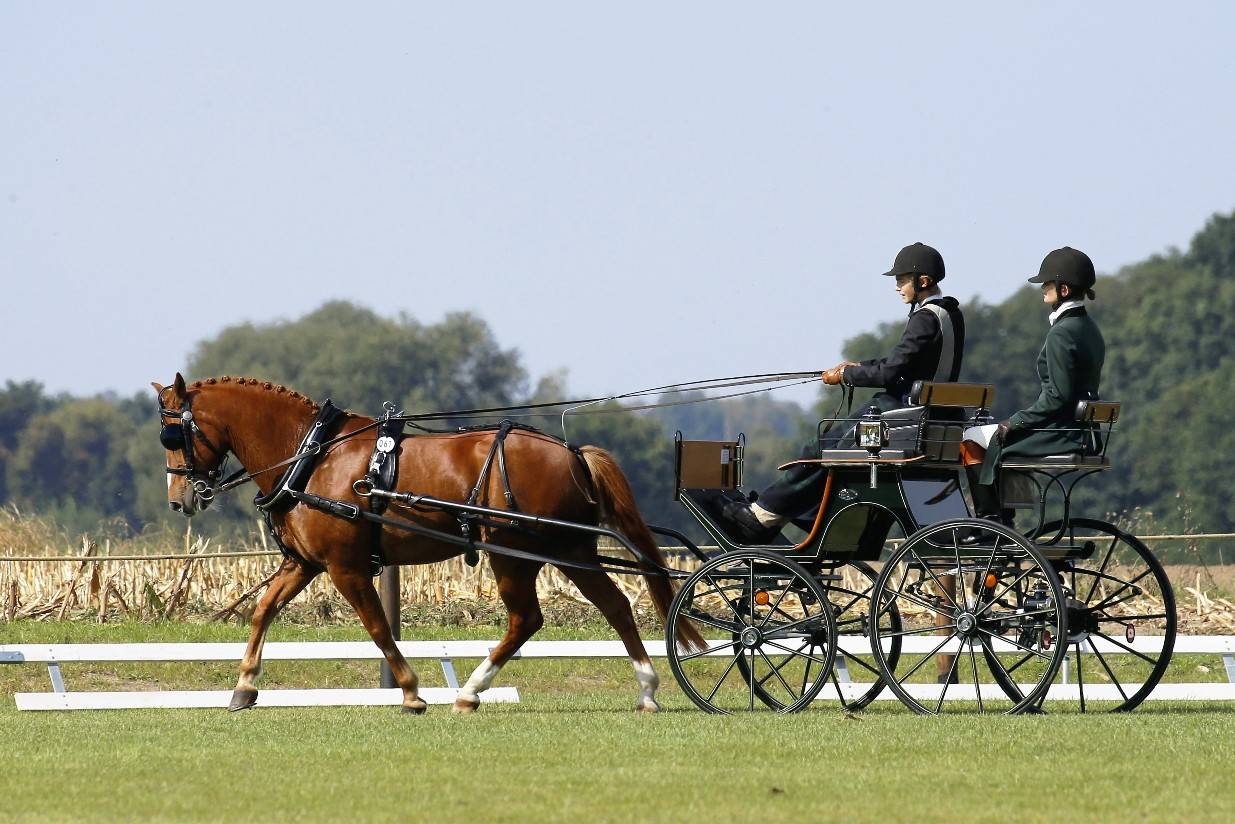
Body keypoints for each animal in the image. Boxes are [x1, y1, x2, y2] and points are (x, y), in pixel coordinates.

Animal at [153, 375, 701, 716]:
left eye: (173, 435)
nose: (180, 499)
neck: (312, 454)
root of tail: (573, 453)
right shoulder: (306, 563)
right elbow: (263, 609)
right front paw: (244, 686)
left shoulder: (347, 567)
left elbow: (377, 627)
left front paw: (412, 692)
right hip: (570, 551)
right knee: (614, 605)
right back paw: (647, 691)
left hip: (515, 554)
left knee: (528, 618)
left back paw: (472, 692)